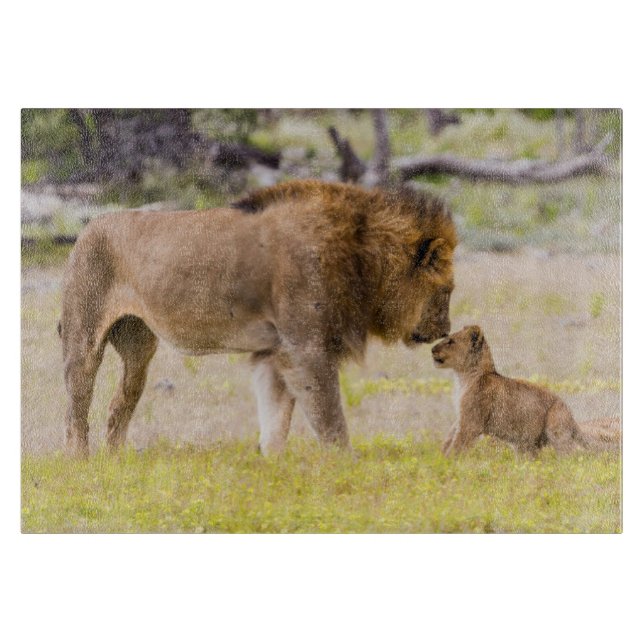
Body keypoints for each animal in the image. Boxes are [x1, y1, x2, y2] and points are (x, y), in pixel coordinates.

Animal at [60, 179, 457, 457]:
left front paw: (272, 465)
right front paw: (346, 464)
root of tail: (87, 227)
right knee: (75, 409)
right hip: (84, 338)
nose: (445, 331)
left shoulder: (275, 351)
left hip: (139, 346)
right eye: (448, 290)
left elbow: (276, 418)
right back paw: (81, 463)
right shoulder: (306, 349)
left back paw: (115, 461)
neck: (362, 256)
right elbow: (329, 417)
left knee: (119, 402)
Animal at [432, 325, 587, 456]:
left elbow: (457, 445)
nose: (432, 349)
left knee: (572, 455)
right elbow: (450, 437)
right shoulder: (462, 416)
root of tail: (571, 416)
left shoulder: (471, 423)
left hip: (556, 430)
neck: (462, 377)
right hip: (526, 446)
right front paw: (439, 456)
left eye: (450, 341)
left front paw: (447, 463)